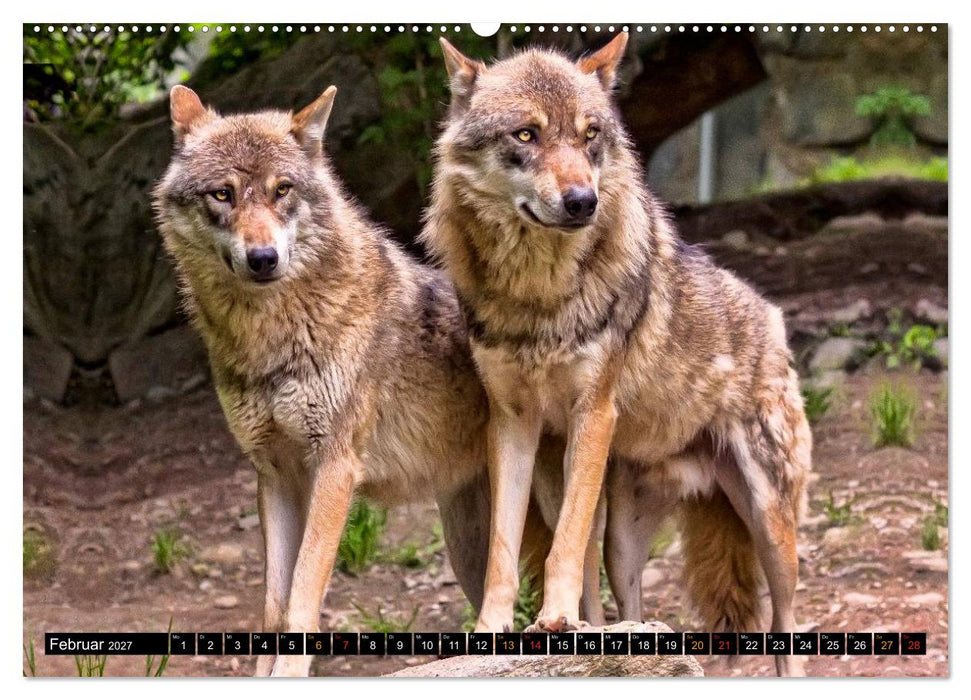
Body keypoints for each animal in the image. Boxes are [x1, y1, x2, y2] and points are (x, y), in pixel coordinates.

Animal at [153, 85, 608, 677]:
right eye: (223, 195)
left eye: (282, 190)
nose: (263, 258)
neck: (269, 337)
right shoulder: (274, 474)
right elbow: (273, 609)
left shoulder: (335, 469)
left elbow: (302, 596)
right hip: (468, 547)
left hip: (560, 510)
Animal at [423, 35, 812, 676]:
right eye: (526, 134)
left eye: (590, 135)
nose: (583, 200)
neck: (538, 297)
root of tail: (772, 317)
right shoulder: (511, 423)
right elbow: (506, 551)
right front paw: (495, 628)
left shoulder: (594, 413)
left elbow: (559, 551)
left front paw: (553, 618)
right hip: (620, 541)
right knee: (623, 603)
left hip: (771, 525)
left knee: (786, 623)